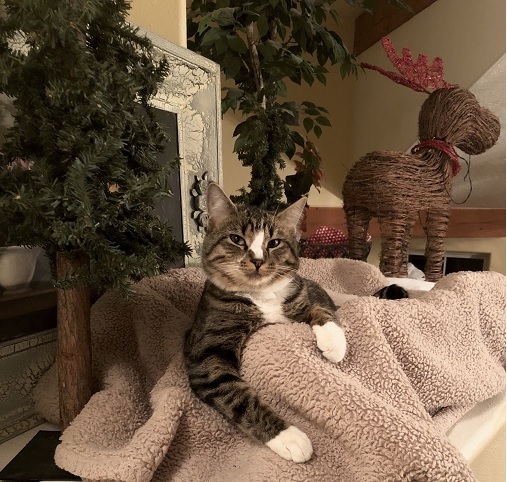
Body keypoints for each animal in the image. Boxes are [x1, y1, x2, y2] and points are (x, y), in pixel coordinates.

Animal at [185, 183, 406, 462]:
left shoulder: (306, 294)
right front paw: (289, 436)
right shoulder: (207, 353)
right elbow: (236, 395)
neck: (262, 297)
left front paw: (334, 343)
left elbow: (323, 309)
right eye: (236, 239)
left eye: (274, 243)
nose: (257, 259)